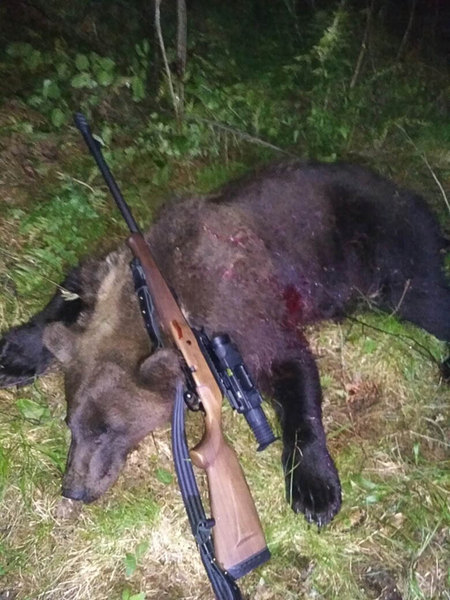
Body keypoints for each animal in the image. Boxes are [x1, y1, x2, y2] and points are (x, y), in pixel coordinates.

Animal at [0, 161, 449, 527]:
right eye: (71, 424)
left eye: (109, 429)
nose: (73, 489)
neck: (159, 304)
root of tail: (408, 193)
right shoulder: (114, 273)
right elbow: (75, 283)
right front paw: (17, 353)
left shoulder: (246, 317)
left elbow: (294, 374)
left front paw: (314, 489)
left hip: (391, 251)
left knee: (427, 296)